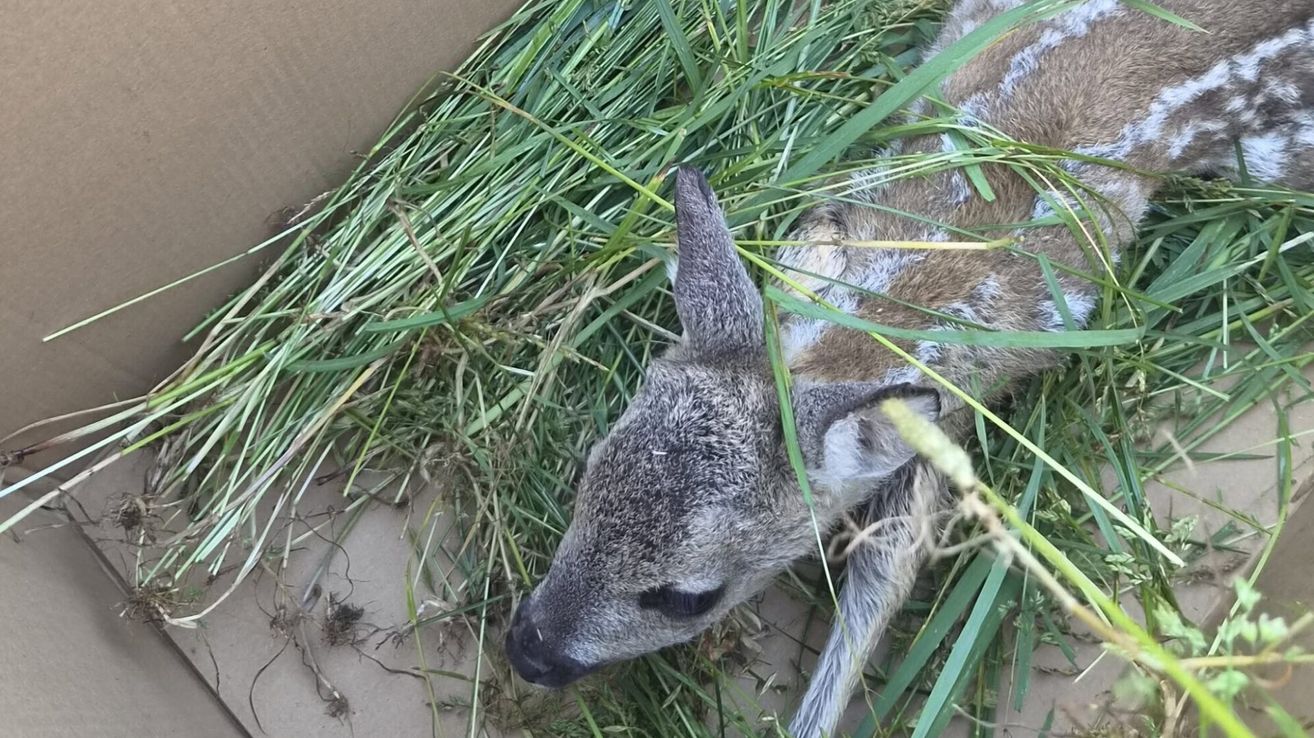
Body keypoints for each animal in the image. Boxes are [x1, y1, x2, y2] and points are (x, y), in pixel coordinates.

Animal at [504, 1, 1314, 735]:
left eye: (686, 597)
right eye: (585, 479)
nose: (526, 649)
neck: (883, 314)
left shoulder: (940, 429)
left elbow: (883, 586)